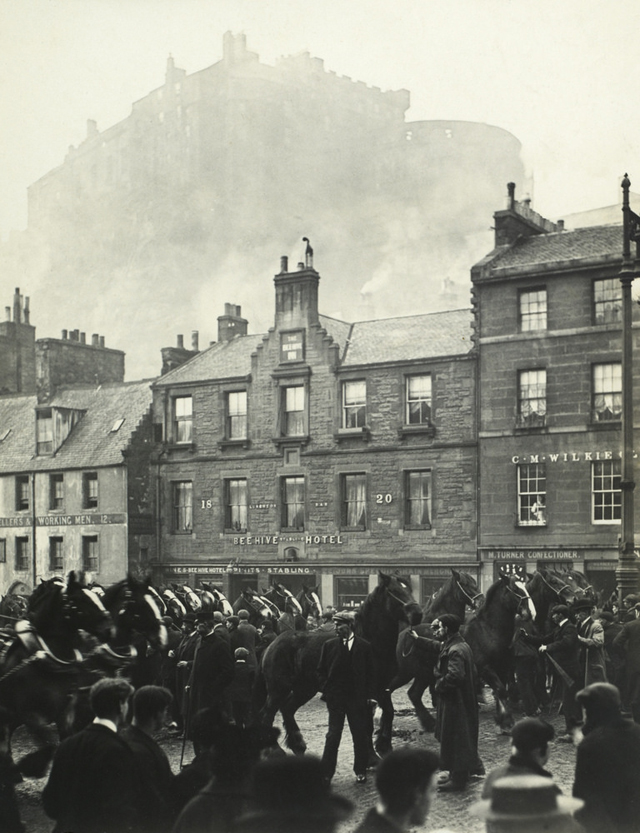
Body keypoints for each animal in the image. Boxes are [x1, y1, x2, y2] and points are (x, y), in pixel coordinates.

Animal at [258, 572, 422, 752]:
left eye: (409, 589)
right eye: (394, 591)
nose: (418, 614)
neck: (370, 641)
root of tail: (272, 644)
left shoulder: (382, 688)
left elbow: (389, 712)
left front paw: (383, 745)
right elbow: (368, 723)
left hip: (304, 688)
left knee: (287, 709)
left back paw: (298, 745)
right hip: (278, 689)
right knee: (267, 715)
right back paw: (275, 749)